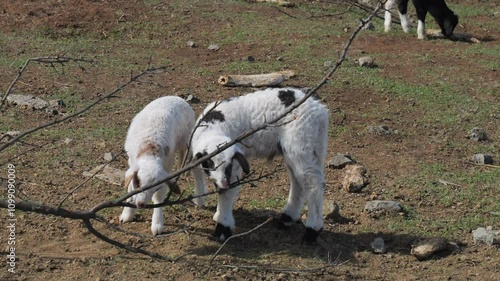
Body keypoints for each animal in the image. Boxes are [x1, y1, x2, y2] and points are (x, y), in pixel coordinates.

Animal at [119, 95, 207, 234]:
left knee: (196, 169)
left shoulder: (166, 168)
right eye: (138, 182)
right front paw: (127, 214)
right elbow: (130, 189)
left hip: (188, 140)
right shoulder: (132, 163)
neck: (150, 150)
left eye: (155, 188)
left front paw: (157, 224)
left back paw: (199, 199)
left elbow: (159, 197)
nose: (141, 205)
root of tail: (178, 98)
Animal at [190, 88, 328, 243]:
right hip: (312, 147)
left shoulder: (235, 167)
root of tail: (320, 111)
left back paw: (312, 231)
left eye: (229, 165)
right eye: (210, 163)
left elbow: (226, 194)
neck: (213, 129)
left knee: (313, 185)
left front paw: (223, 228)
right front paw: (218, 214)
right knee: (298, 182)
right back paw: (287, 218)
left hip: (301, 142)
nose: (224, 183)